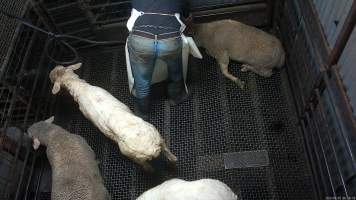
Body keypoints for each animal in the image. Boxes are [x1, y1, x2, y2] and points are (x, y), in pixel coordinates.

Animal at [49, 63, 177, 171]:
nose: (51, 73)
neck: (80, 87)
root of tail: (149, 148)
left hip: (133, 155)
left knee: (146, 165)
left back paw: (151, 170)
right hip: (157, 135)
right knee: (167, 151)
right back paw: (173, 160)